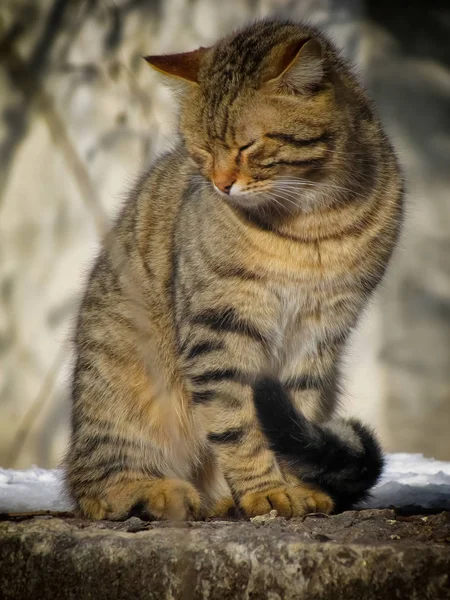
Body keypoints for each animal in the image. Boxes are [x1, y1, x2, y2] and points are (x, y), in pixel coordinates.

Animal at [63, 18, 400, 520]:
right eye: (201, 150)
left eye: (248, 145)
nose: (221, 185)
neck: (313, 223)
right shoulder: (219, 325)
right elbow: (236, 423)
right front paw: (266, 490)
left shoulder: (321, 329)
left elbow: (295, 421)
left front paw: (296, 487)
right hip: (123, 387)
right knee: (98, 482)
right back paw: (160, 492)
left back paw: (223, 499)